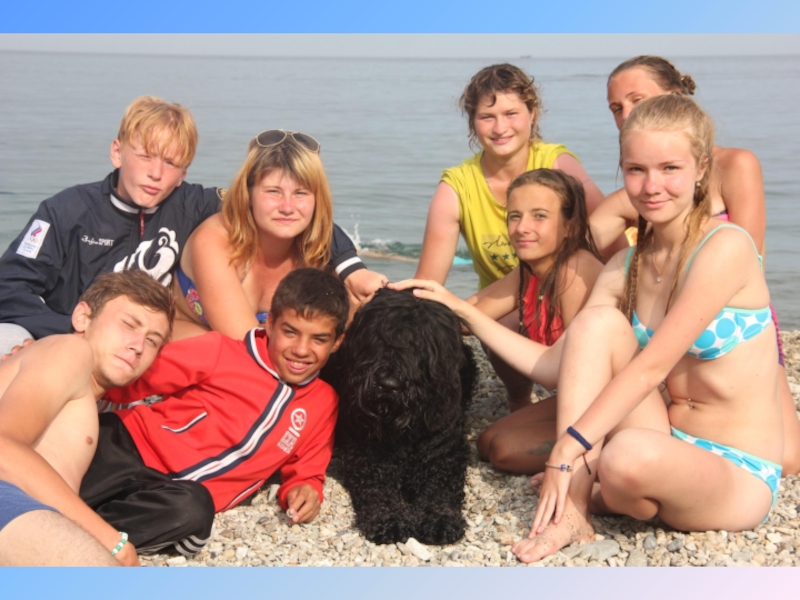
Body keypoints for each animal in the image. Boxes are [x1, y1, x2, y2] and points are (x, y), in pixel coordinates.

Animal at [324, 288, 476, 545]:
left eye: (421, 347)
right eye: (377, 339)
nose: (388, 384)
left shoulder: (444, 453)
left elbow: (440, 489)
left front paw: (439, 519)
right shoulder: (368, 453)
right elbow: (379, 488)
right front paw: (388, 520)